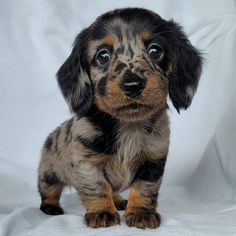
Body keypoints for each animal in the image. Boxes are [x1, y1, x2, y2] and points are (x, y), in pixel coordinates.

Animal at [37, 7, 203, 229]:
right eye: (103, 56)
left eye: (155, 50)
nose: (133, 85)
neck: (128, 125)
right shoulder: (86, 162)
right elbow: (98, 187)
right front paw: (102, 212)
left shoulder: (153, 161)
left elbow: (144, 189)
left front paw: (141, 212)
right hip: (48, 173)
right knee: (49, 191)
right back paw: (51, 207)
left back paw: (118, 201)